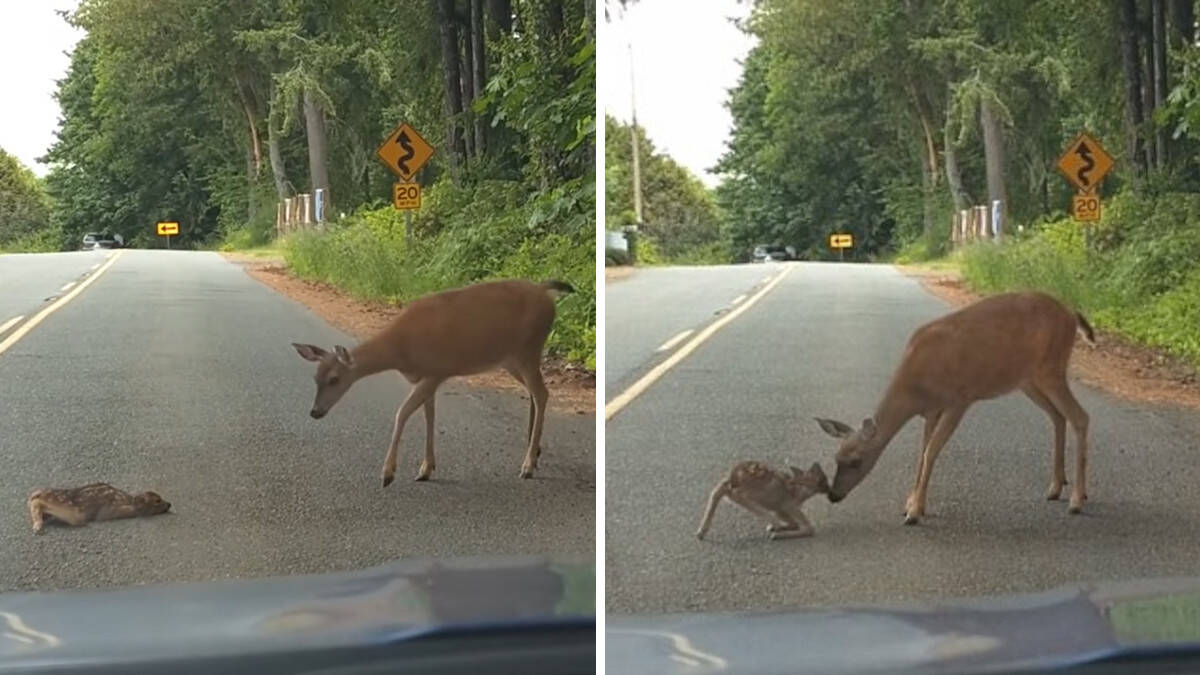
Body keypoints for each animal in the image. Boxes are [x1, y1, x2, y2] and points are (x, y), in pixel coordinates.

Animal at [289, 277, 571, 482]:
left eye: (334, 379)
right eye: (315, 378)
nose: (315, 412)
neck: (401, 350)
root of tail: (546, 292)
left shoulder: (436, 371)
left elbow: (403, 412)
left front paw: (388, 473)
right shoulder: (426, 377)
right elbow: (429, 416)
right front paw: (426, 469)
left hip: (528, 348)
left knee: (542, 393)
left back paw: (528, 465)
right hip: (511, 359)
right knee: (535, 393)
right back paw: (535, 451)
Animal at [700, 458, 830, 538]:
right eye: (823, 480)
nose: (829, 489)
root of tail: (733, 479)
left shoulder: (779, 509)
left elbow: (793, 523)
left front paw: (774, 529)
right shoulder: (788, 504)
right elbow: (808, 528)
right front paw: (776, 532)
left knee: (717, 491)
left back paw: (700, 532)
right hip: (759, 490)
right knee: (737, 494)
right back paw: (775, 524)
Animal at [816, 288, 1099, 521]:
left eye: (856, 461)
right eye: (836, 458)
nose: (833, 495)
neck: (915, 387)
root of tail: (1070, 313)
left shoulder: (959, 399)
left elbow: (931, 451)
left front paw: (915, 511)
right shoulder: (931, 410)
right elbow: (922, 451)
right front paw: (911, 503)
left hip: (1051, 369)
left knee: (1080, 416)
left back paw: (1077, 499)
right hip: (1028, 380)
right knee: (1058, 416)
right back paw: (1056, 487)